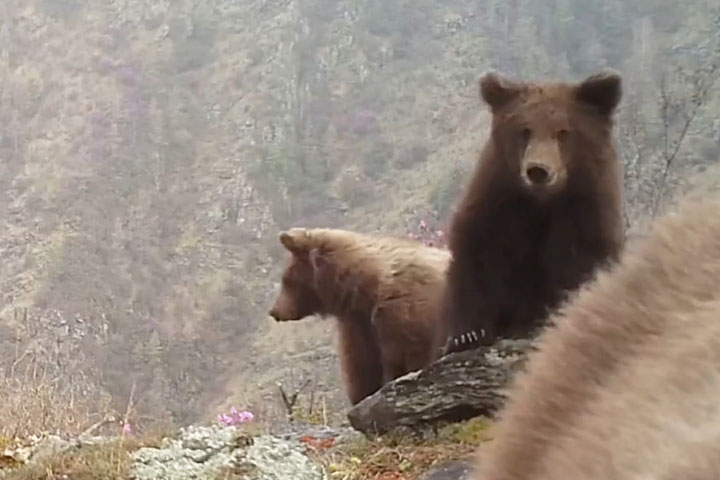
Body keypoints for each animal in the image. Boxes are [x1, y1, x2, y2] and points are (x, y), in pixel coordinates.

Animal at [270, 227, 450, 404]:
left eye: (286, 279)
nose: (274, 311)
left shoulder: (405, 317)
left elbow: (410, 359)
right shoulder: (358, 326)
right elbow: (362, 371)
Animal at [436, 69, 628, 354]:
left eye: (563, 131)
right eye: (524, 130)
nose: (538, 170)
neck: (541, 204)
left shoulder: (585, 217)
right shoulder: (497, 207)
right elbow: (476, 259)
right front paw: (466, 334)